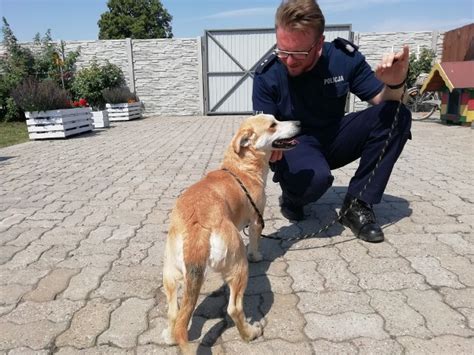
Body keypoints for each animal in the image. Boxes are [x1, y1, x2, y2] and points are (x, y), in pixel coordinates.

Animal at [161, 114, 298, 354]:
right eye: (273, 125)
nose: (299, 123)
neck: (241, 167)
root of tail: (197, 229)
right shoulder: (256, 220)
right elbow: (255, 241)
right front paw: (257, 255)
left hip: (170, 273)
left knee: (174, 313)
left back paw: (170, 336)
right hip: (238, 266)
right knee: (234, 309)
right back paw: (250, 333)